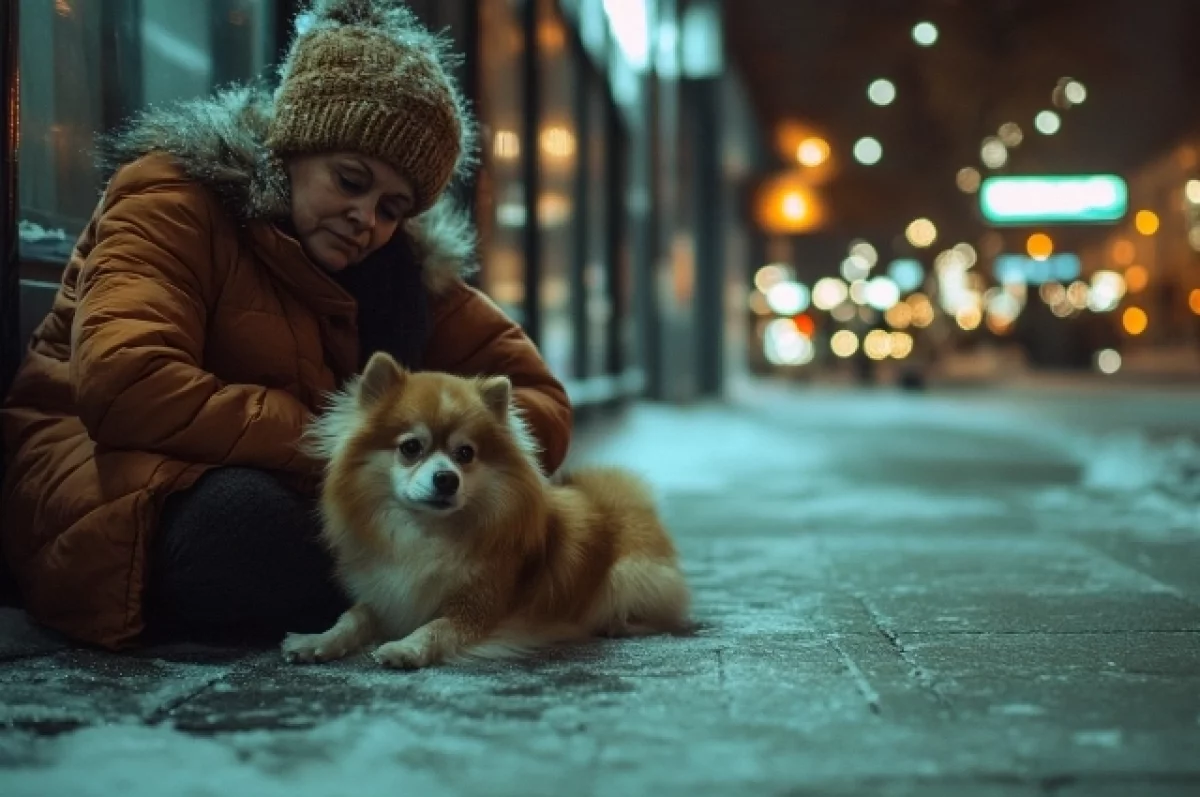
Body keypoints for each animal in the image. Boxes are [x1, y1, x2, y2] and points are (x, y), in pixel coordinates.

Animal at [280, 352, 691, 667]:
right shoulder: (387, 597)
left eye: (466, 453)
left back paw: (616, 624)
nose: (447, 479)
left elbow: (436, 627)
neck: (427, 532)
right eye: (411, 447)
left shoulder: (476, 608)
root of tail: (623, 502)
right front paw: (316, 640)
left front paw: (406, 647)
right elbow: (353, 616)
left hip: (629, 576)